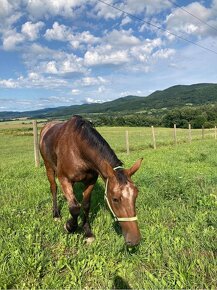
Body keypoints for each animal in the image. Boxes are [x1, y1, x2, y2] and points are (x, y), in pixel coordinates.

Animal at [39, 115, 142, 247]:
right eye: (115, 199)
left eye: (136, 195)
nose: (134, 240)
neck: (77, 148)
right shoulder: (64, 179)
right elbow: (75, 208)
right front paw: (69, 226)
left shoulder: (91, 181)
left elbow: (85, 205)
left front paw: (87, 232)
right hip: (49, 167)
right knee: (53, 188)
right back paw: (56, 214)